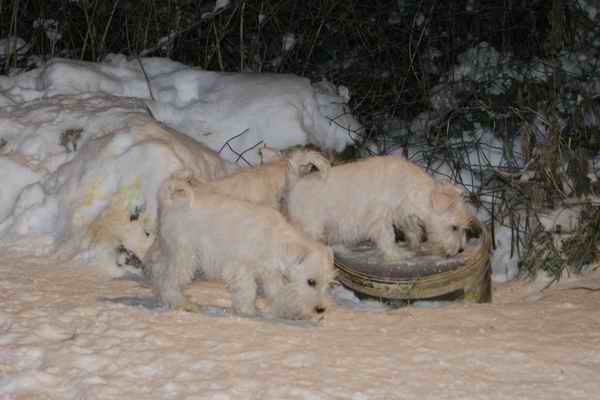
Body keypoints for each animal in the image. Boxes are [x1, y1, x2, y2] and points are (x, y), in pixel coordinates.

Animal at [144, 177, 336, 320]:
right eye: (311, 282)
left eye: (327, 283)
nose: (321, 309)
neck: (276, 241)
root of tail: (171, 202)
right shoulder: (240, 268)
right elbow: (249, 289)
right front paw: (248, 310)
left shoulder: (270, 275)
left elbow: (278, 292)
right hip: (185, 256)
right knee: (169, 280)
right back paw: (183, 304)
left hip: (168, 249)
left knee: (157, 269)